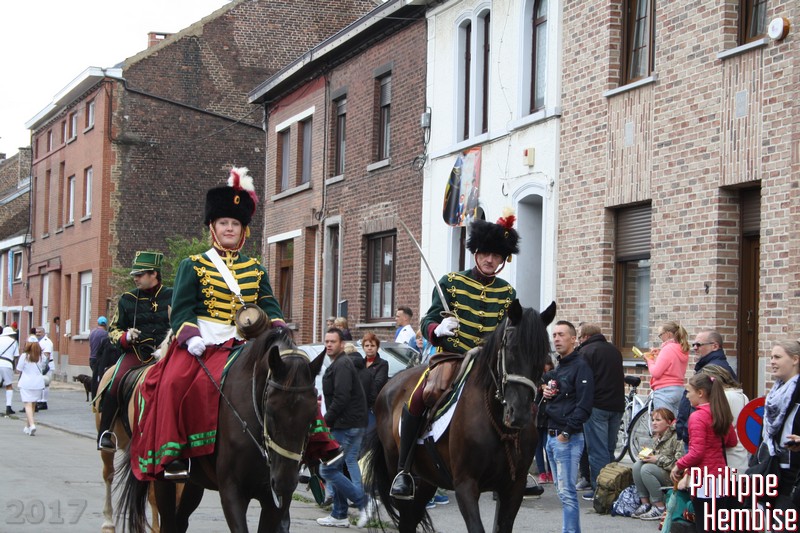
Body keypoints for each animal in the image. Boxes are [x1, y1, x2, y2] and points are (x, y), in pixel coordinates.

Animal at [117, 327, 325, 533]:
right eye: (271, 411)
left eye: (312, 414)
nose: (284, 482)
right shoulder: (232, 491)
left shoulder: (275, 501)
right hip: (162, 479)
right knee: (168, 522)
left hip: (194, 482)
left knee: (181, 521)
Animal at [365, 299, 556, 533]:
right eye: (511, 348)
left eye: (544, 353)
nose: (518, 414)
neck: (497, 422)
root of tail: (389, 385)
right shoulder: (465, 485)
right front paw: (446, 326)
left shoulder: (513, 488)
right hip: (397, 468)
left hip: (428, 478)